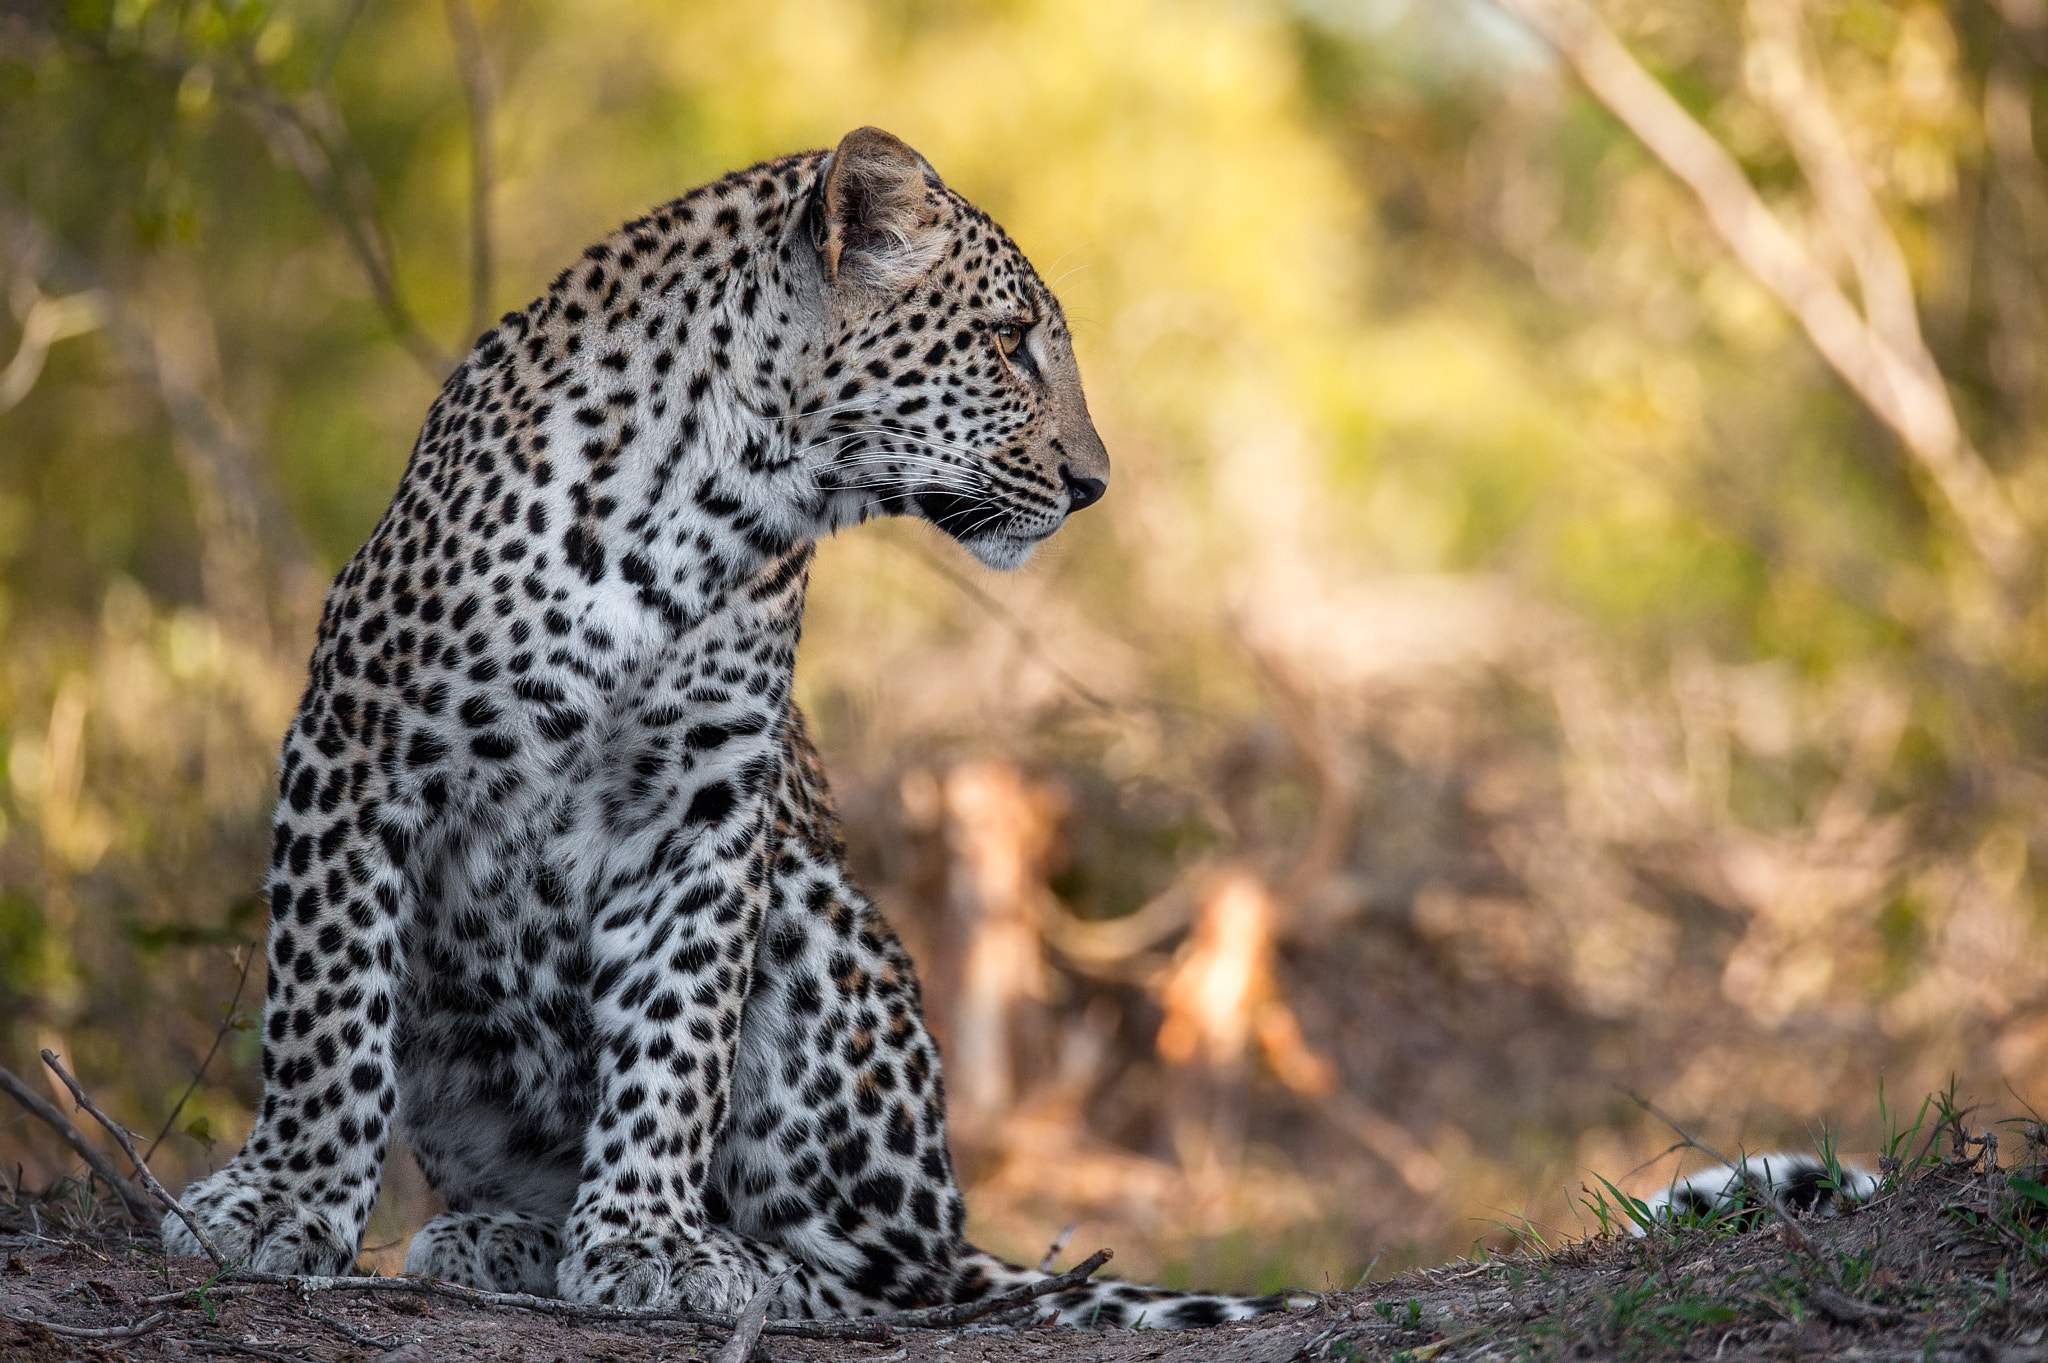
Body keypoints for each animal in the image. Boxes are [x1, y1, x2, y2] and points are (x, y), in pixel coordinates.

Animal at [163, 126, 1305, 1330]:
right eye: (1006, 343)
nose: (1093, 484)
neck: (703, 510)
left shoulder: (703, 805)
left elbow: (680, 1030)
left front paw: (651, 1240)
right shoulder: (357, 740)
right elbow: (327, 1007)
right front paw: (283, 1200)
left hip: (813, 912)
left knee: (900, 1275)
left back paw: (733, 1261)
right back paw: (504, 1237)